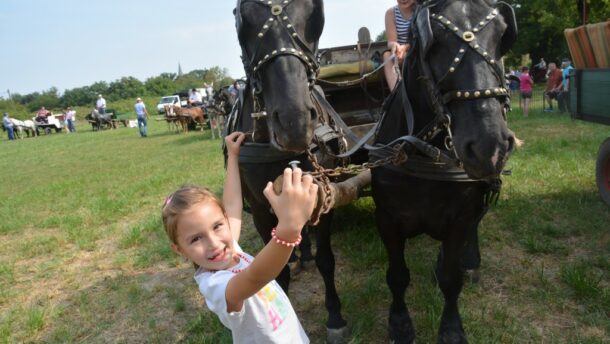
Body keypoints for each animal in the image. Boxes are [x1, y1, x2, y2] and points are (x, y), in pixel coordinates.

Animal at [229, 0, 350, 342]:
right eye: (242, 17)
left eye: (317, 13)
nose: (294, 123)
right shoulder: (259, 208)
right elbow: (275, 270)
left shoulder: (326, 196)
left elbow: (326, 259)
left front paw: (335, 317)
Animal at [368, 1, 516, 342]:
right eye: (433, 41)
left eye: (501, 36)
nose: (489, 146)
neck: (425, 154)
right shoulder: (386, 219)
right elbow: (397, 275)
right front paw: (400, 322)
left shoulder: (459, 218)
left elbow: (451, 278)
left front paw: (451, 327)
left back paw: (470, 260)